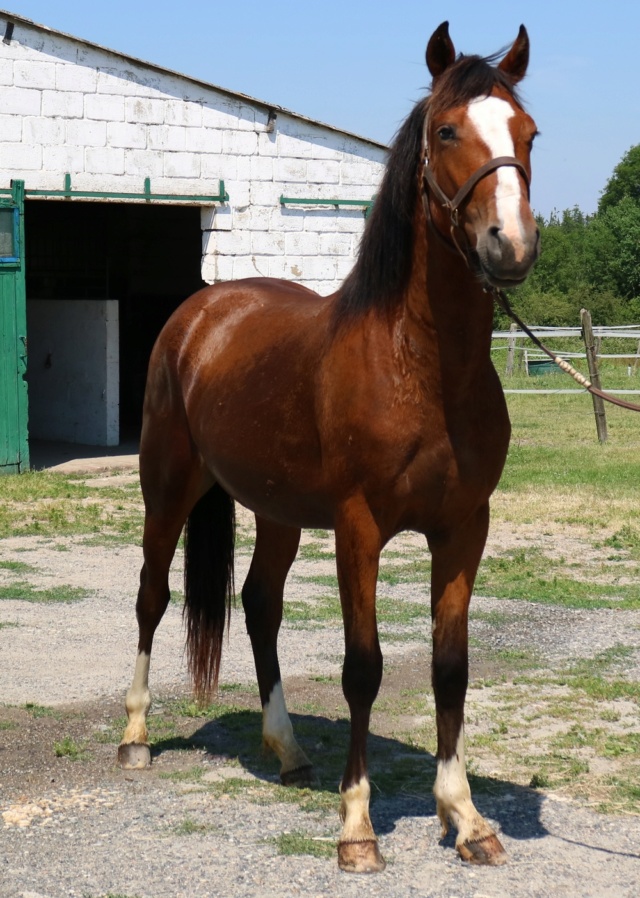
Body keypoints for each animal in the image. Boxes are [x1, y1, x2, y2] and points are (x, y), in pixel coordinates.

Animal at [117, 22, 536, 876]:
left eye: (529, 134)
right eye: (448, 131)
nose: (509, 246)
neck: (420, 365)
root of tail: (202, 310)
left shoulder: (464, 529)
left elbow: (450, 667)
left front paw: (466, 818)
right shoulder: (359, 528)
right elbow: (363, 668)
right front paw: (357, 828)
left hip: (276, 512)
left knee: (259, 605)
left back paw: (286, 751)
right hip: (168, 486)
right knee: (151, 597)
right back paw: (136, 736)